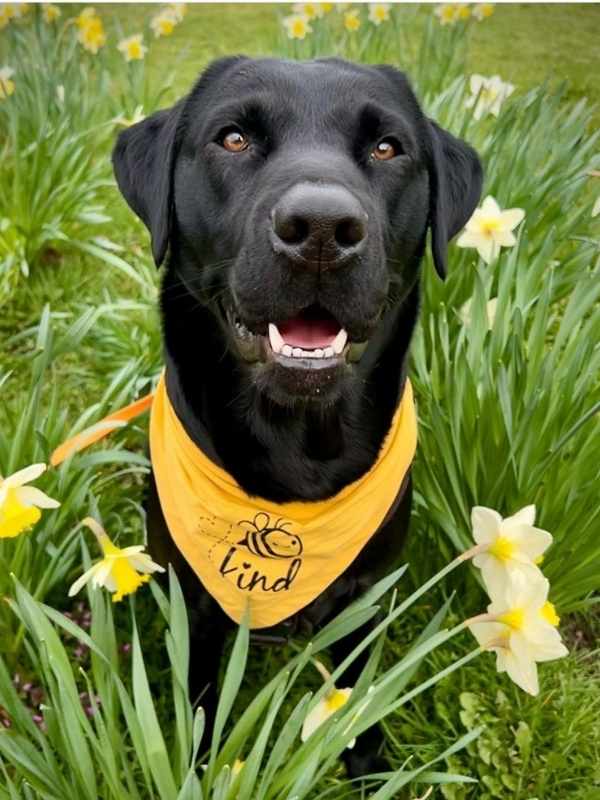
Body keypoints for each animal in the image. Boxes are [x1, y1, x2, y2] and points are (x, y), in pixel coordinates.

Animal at [110, 57, 480, 776]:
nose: (321, 230)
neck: (296, 446)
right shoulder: (196, 605)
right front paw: (200, 771)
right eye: (233, 139)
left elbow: (357, 694)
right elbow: (203, 700)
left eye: (387, 148)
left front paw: (367, 765)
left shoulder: (367, 593)